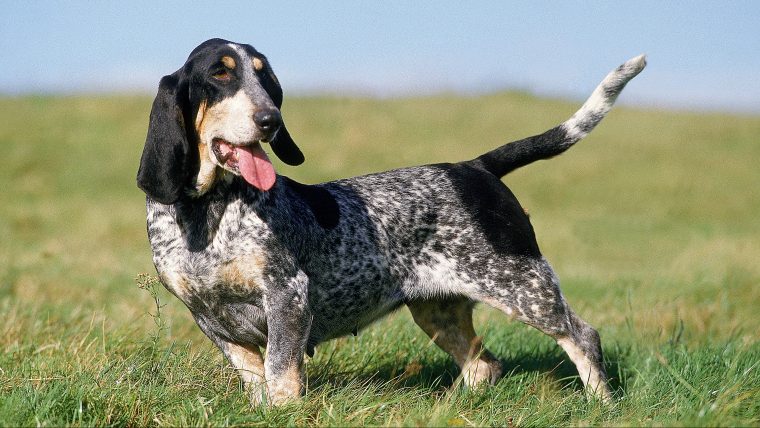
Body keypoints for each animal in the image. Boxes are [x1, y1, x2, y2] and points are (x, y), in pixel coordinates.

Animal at [135, 39, 640, 404]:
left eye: (265, 78)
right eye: (219, 74)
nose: (270, 119)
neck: (208, 212)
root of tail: (474, 167)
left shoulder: (288, 296)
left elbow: (281, 373)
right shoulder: (210, 318)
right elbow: (255, 377)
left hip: (523, 287)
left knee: (583, 337)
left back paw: (601, 406)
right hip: (438, 309)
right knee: (484, 364)